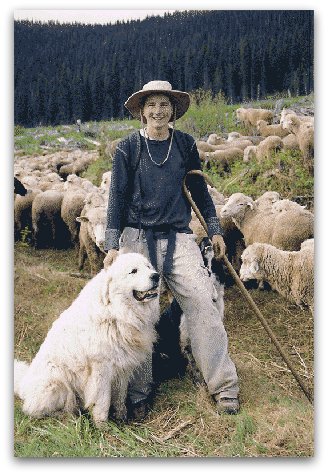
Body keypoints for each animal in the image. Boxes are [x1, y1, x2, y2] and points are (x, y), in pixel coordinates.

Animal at [14, 253, 160, 428]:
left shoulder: (122, 367)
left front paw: (121, 418)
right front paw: (103, 427)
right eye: (134, 271)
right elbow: (103, 402)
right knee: (34, 410)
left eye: (148, 267)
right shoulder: (101, 369)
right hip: (56, 382)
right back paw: (65, 416)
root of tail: (23, 385)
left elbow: (120, 397)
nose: (156, 276)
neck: (115, 311)